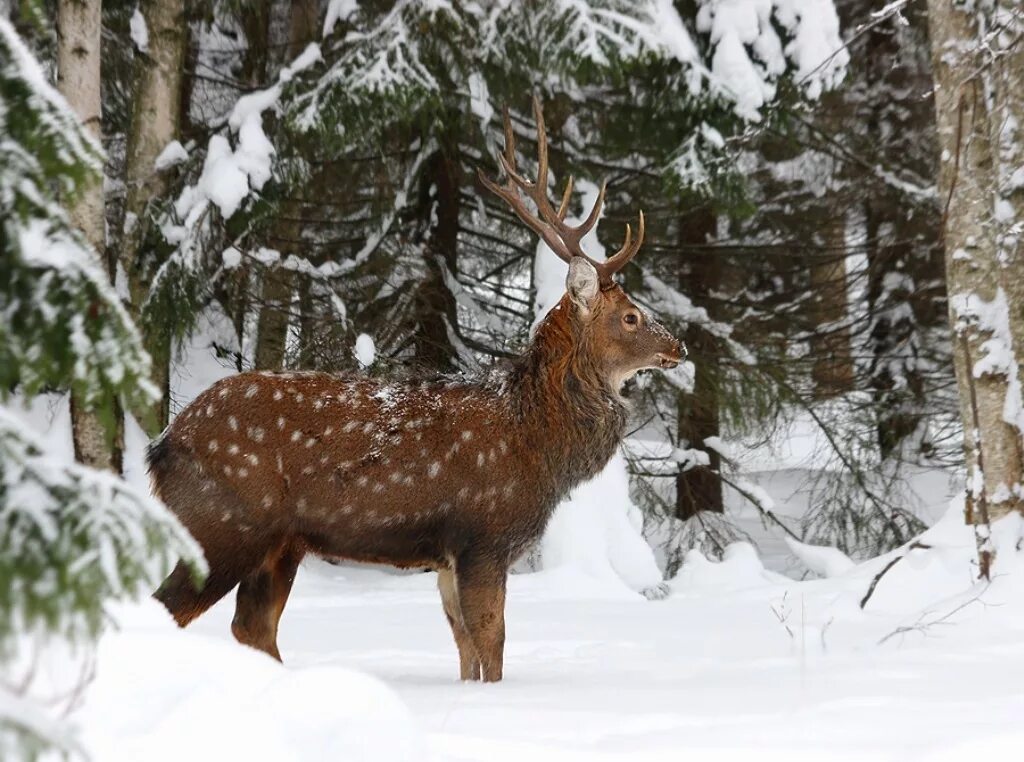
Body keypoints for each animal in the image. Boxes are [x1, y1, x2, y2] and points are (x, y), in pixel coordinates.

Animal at [148, 98, 684, 680]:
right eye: (631, 316)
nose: (678, 345)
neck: (537, 444)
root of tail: (162, 447)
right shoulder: (483, 534)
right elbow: (492, 640)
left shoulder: (447, 555)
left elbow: (465, 647)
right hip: (223, 521)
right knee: (167, 607)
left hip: (279, 544)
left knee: (252, 627)